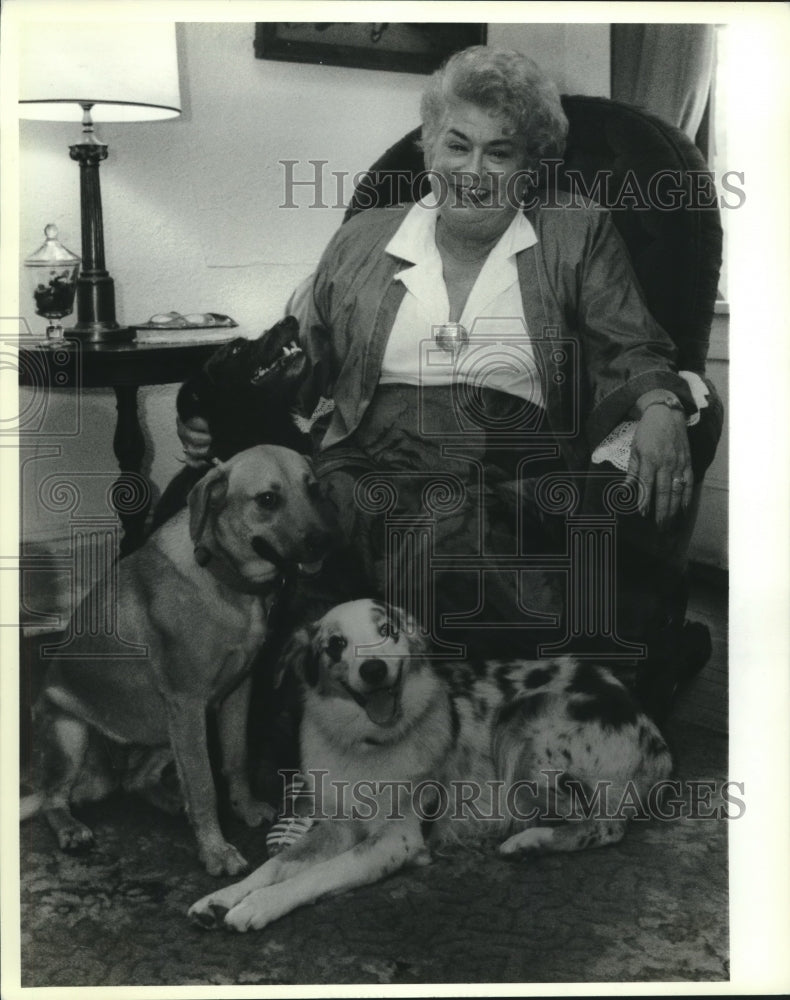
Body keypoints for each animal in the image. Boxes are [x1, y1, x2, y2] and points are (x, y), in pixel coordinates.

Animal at [20, 446, 332, 876]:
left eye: (313, 489)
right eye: (268, 499)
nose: (324, 543)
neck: (222, 576)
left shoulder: (234, 694)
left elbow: (235, 759)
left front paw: (245, 808)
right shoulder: (187, 703)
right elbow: (202, 784)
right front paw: (216, 851)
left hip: (166, 731)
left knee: (136, 780)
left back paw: (170, 802)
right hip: (75, 735)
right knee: (53, 797)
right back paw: (71, 828)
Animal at [192, 596, 676, 932]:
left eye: (388, 629)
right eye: (335, 644)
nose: (373, 669)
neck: (364, 743)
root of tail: (654, 734)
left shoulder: (397, 839)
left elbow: (314, 876)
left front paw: (257, 905)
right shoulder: (336, 826)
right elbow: (275, 865)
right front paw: (223, 897)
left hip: (524, 728)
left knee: (604, 826)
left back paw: (528, 840)